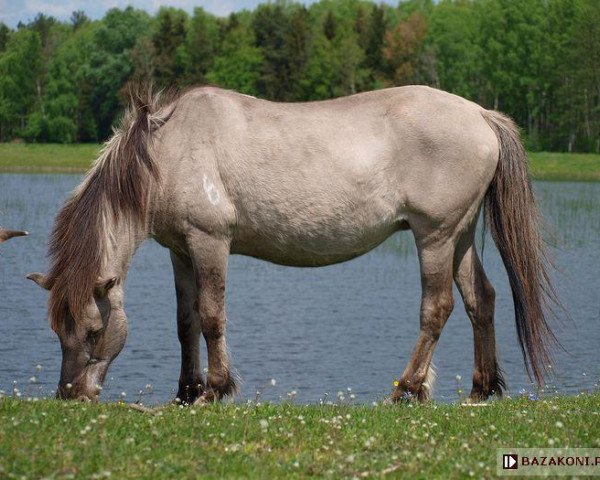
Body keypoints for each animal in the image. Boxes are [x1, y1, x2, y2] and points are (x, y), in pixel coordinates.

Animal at [27, 84, 556, 404]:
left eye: (94, 331)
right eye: (57, 331)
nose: (70, 394)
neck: (165, 153)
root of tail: (481, 114)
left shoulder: (209, 242)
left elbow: (212, 316)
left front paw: (215, 389)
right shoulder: (180, 250)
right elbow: (186, 323)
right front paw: (184, 391)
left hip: (436, 236)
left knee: (438, 307)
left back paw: (406, 388)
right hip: (460, 236)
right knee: (480, 299)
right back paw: (481, 389)